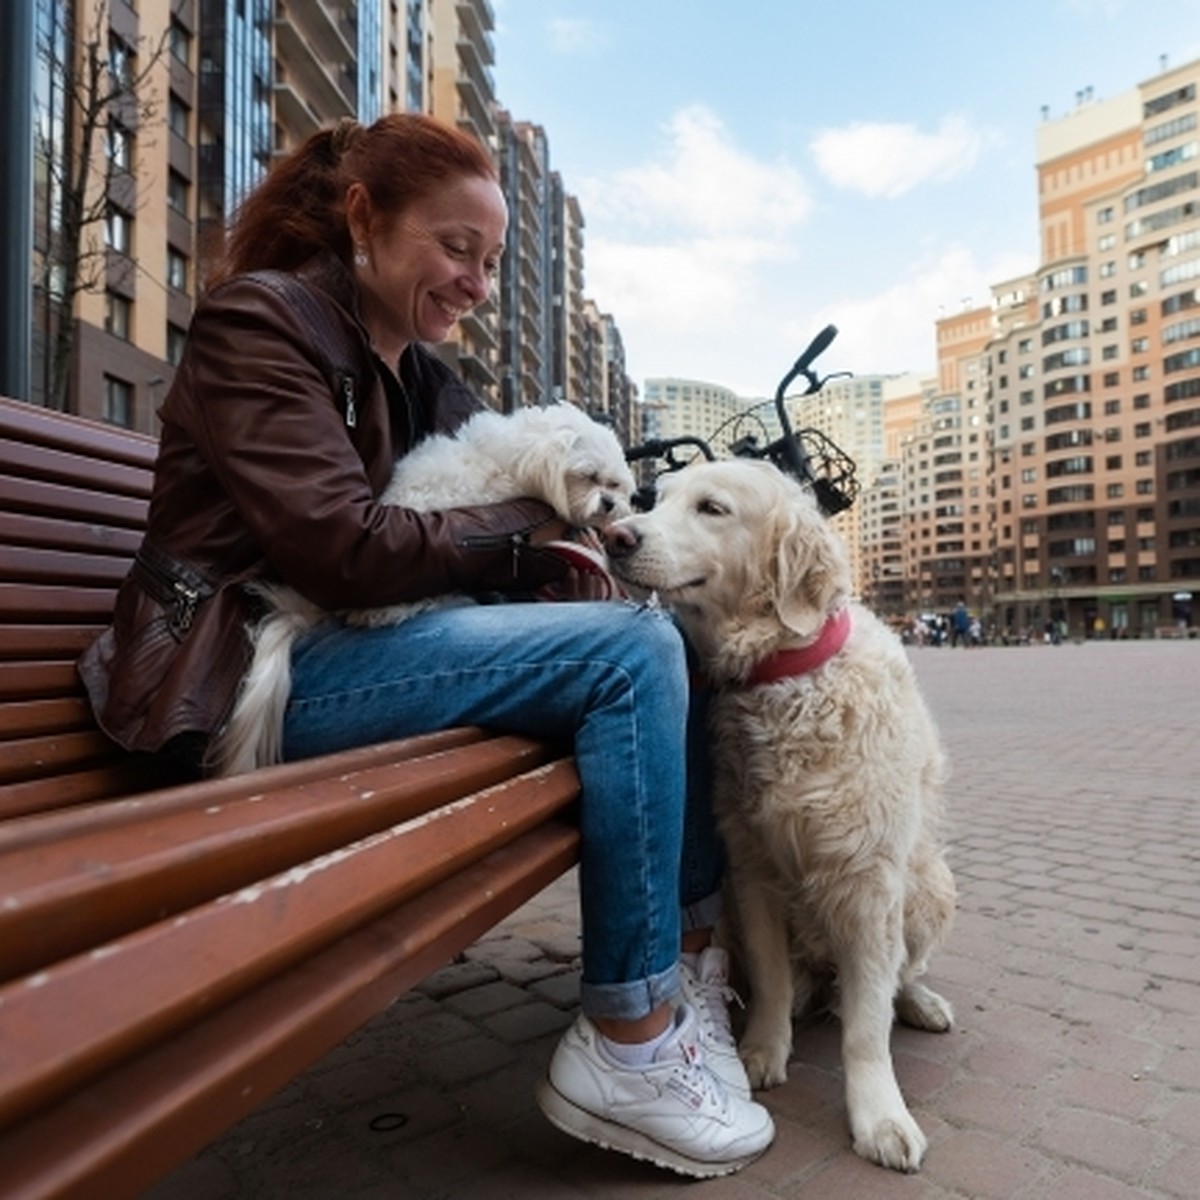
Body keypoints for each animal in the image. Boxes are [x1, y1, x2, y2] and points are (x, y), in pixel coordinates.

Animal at [609, 458, 955, 1171]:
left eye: (712, 508)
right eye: (654, 499)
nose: (616, 535)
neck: (784, 676)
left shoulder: (870, 885)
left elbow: (867, 1024)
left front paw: (880, 1117)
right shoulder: (751, 871)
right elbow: (770, 982)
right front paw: (761, 1052)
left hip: (932, 886)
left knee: (900, 975)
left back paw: (922, 1001)